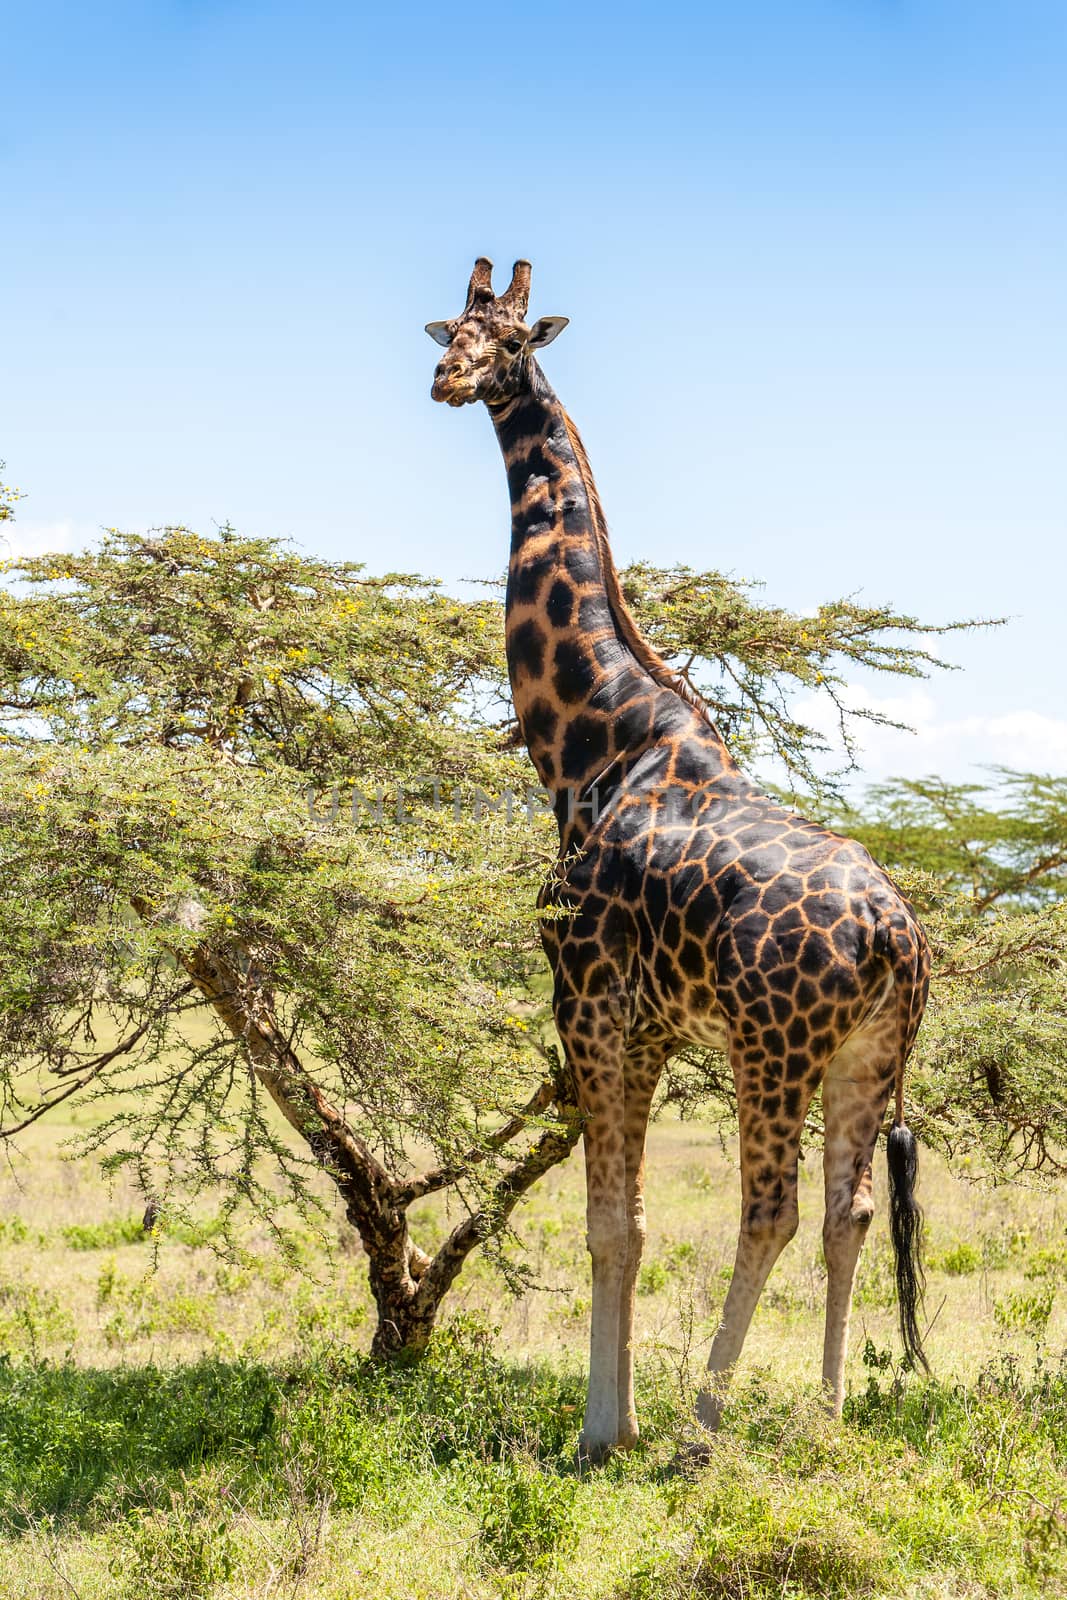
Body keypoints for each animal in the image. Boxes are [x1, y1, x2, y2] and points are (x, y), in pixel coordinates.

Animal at [428, 259, 927, 1465]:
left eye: (510, 340)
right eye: (451, 327)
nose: (447, 378)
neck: (590, 742)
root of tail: (895, 934)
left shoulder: (586, 1001)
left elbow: (607, 1223)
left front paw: (600, 1432)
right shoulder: (648, 1023)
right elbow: (635, 1221)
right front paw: (611, 1420)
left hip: (770, 1044)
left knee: (771, 1210)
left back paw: (704, 1425)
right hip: (863, 1056)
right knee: (845, 1210)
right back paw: (826, 1411)